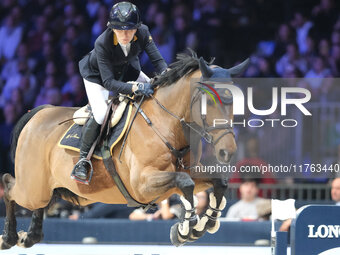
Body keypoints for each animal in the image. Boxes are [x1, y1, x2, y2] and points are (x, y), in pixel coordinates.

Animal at [1, 52, 248, 249]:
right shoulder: (142, 184)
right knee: (9, 186)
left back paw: (30, 237)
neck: (167, 124)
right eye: (209, 102)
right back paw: (9, 238)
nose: (227, 152)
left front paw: (205, 224)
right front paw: (185, 230)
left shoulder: (189, 171)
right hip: (32, 188)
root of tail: (39, 113)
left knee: (39, 203)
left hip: (62, 191)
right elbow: (185, 183)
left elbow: (219, 182)